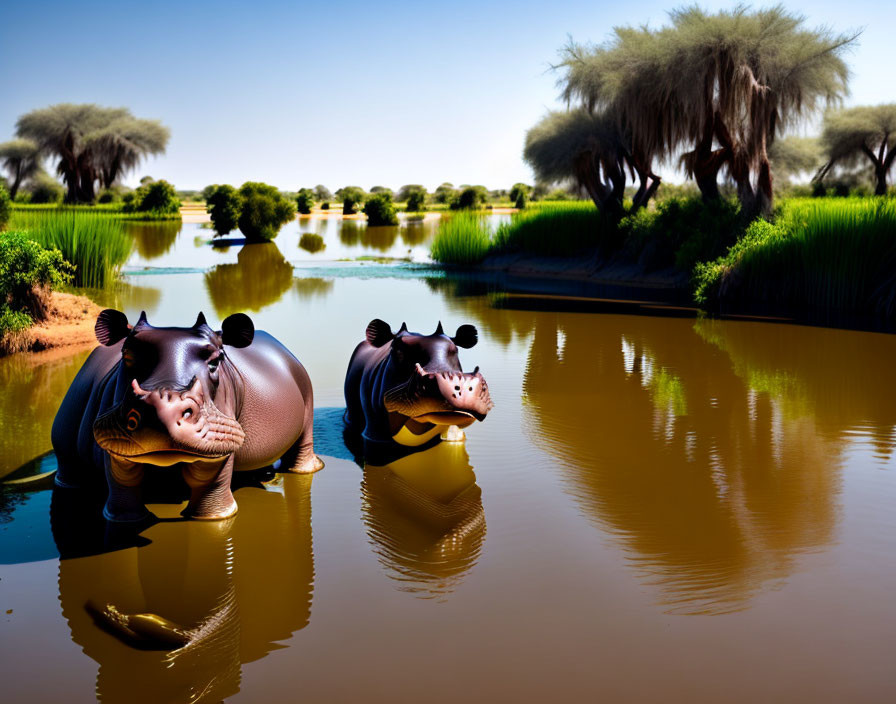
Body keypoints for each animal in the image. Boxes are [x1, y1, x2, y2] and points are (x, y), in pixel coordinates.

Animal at [50, 310, 324, 524]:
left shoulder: (220, 437)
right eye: (126, 356)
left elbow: (212, 478)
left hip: (307, 392)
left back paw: (300, 471)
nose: (163, 409)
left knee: (303, 440)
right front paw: (123, 520)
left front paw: (216, 516)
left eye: (216, 360)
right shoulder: (112, 438)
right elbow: (121, 477)